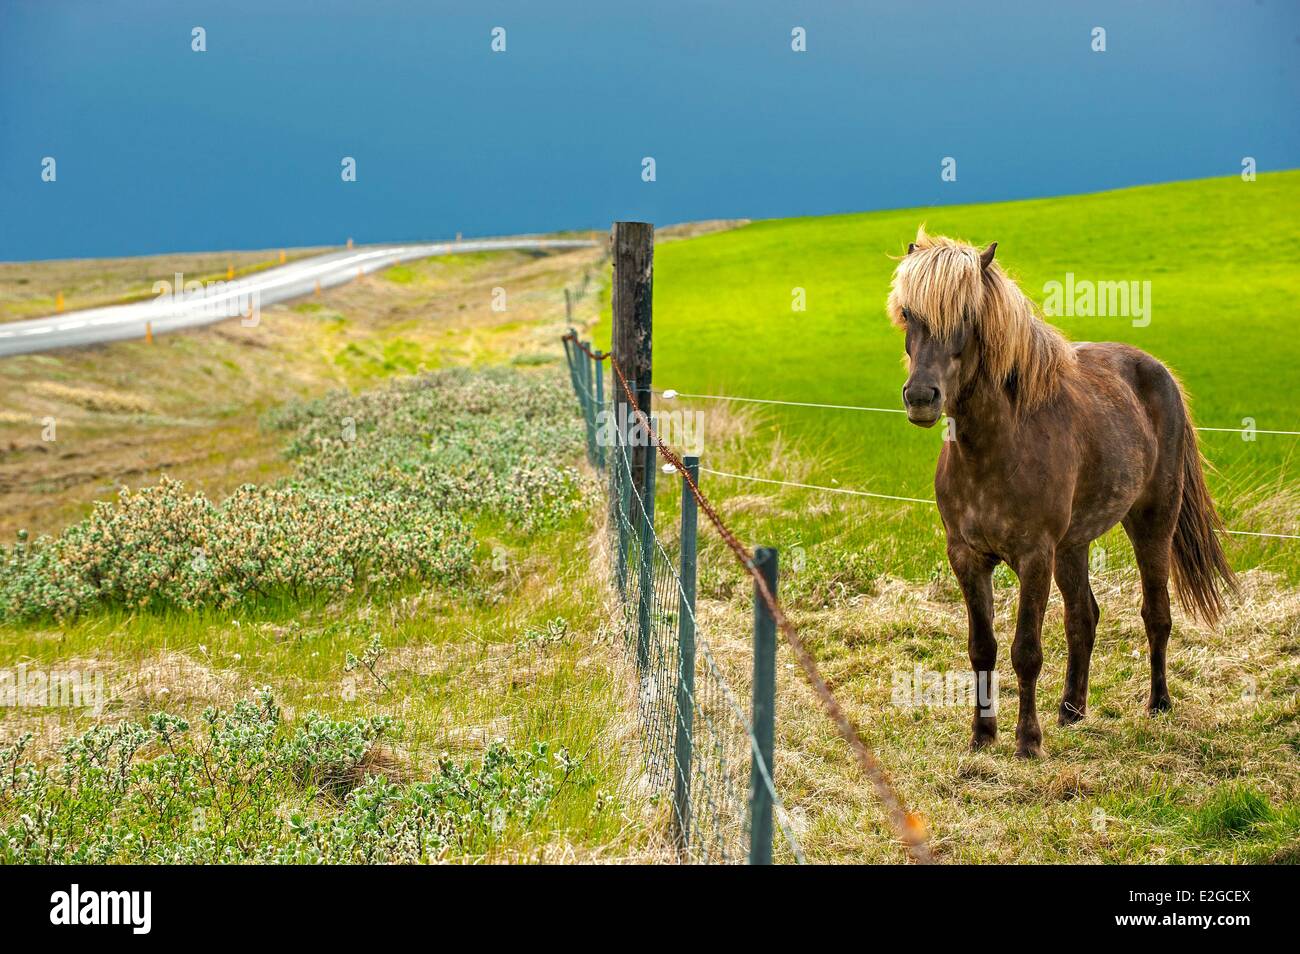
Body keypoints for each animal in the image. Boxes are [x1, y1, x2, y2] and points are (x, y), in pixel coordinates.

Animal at [887, 228, 1236, 757]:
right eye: (909, 313)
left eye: (967, 316)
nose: (922, 398)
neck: (996, 445)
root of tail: (1158, 372)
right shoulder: (967, 556)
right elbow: (982, 648)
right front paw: (982, 737)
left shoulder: (1035, 556)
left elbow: (1026, 651)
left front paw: (1028, 742)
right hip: (1074, 544)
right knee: (1083, 617)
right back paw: (1072, 710)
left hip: (1152, 524)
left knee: (1156, 614)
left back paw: (1158, 704)